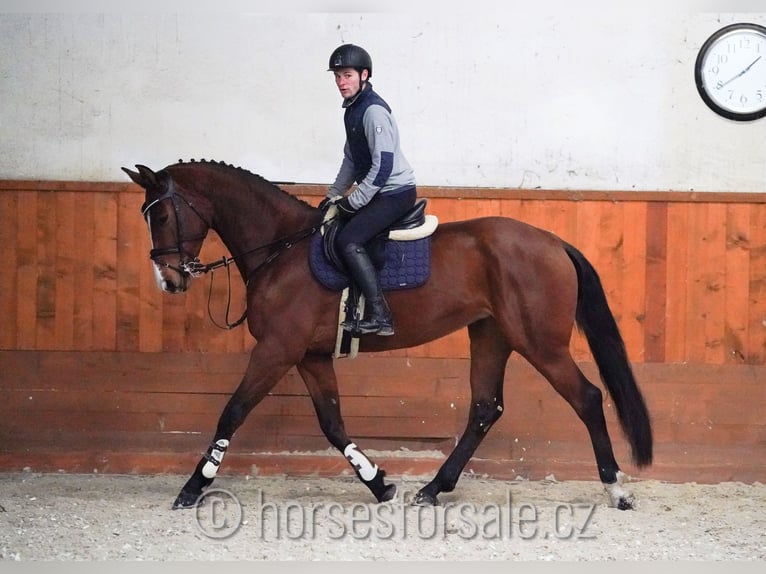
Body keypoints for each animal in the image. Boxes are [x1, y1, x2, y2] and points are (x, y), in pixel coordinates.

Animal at [123, 161, 656, 512]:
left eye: (162, 215)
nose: (169, 280)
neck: (282, 249)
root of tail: (553, 242)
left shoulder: (276, 350)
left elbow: (232, 412)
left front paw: (193, 487)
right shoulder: (310, 356)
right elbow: (332, 424)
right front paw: (379, 483)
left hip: (540, 343)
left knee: (587, 398)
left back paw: (617, 489)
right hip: (491, 336)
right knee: (485, 408)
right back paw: (433, 488)